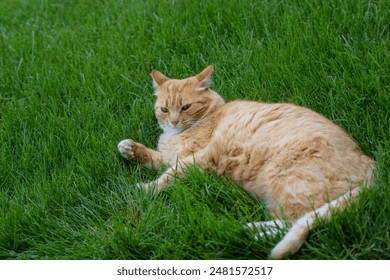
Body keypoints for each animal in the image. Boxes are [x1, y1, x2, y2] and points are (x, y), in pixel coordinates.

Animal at [116, 65, 374, 258]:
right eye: (164, 109)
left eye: (186, 107)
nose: (174, 121)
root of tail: (372, 163)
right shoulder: (171, 156)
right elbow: (155, 158)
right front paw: (129, 148)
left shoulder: (199, 159)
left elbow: (169, 176)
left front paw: (145, 190)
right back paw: (245, 230)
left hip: (284, 178)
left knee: (295, 220)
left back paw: (244, 231)